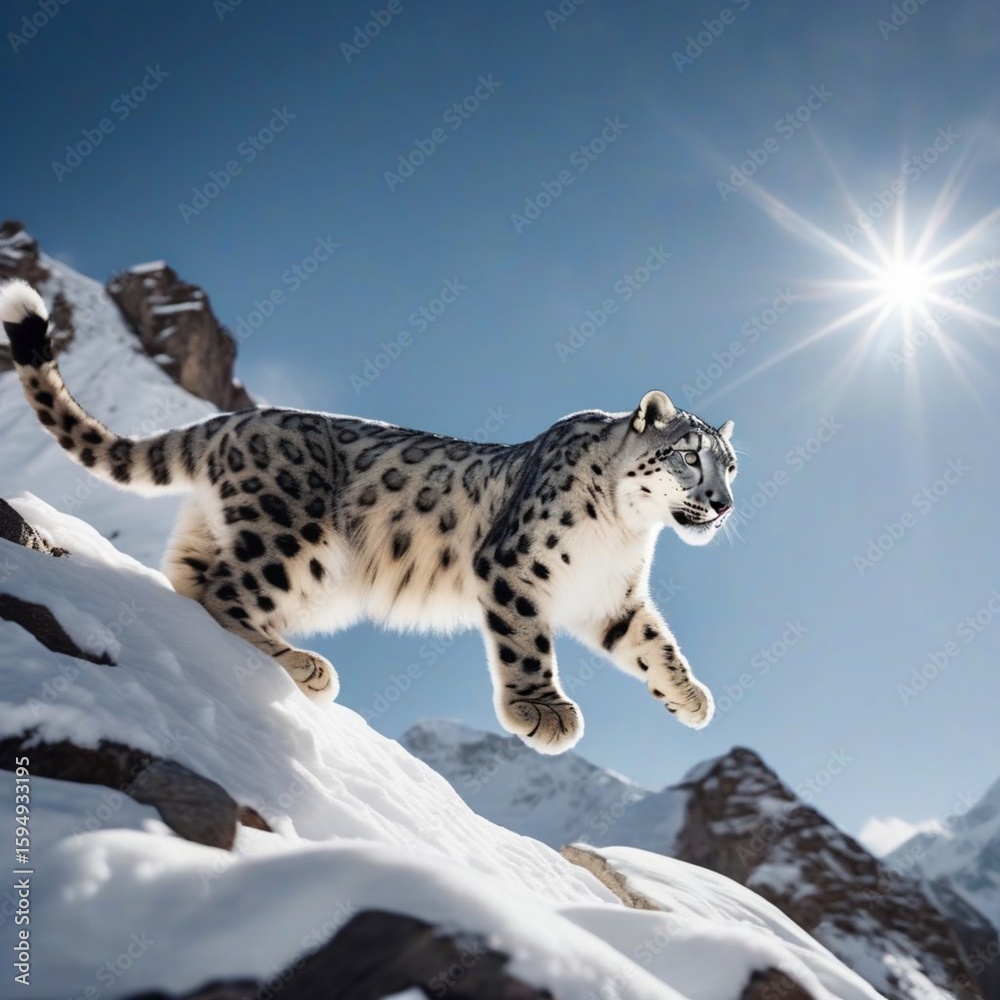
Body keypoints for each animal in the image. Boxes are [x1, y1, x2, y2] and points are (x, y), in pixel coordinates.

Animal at [1, 279, 738, 754]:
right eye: (688, 456)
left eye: (731, 465)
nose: (725, 504)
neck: (625, 534)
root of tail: (230, 420)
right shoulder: (515, 567)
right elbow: (528, 641)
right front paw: (542, 710)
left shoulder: (611, 596)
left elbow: (653, 643)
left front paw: (690, 698)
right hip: (295, 540)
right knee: (223, 592)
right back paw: (304, 667)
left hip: (240, 535)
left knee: (190, 577)